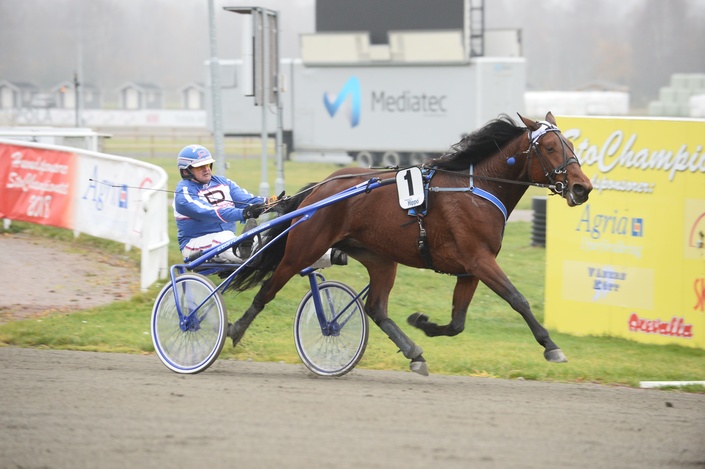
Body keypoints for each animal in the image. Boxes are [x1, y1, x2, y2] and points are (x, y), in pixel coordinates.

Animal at [227, 112, 592, 375]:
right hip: (304, 248)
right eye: (550, 148)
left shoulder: (470, 270)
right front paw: (550, 346)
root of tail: (320, 188)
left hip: (380, 258)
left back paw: (413, 352)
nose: (582, 187)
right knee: (268, 289)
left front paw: (423, 323)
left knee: (376, 308)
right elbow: (518, 300)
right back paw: (234, 329)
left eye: (571, 145)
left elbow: (458, 322)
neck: (475, 189)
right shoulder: (480, 260)